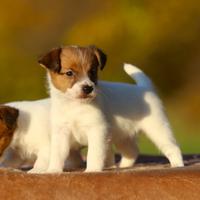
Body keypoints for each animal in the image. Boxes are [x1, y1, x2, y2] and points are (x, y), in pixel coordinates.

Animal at [39, 44, 184, 173]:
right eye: (69, 73)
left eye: (92, 72)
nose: (88, 88)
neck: (75, 106)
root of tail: (144, 88)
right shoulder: (61, 133)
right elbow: (57, 154)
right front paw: (53, 170)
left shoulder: (97, 130)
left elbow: (94, 153)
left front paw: (92, 170)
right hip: (123, 136)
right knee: (132, 151)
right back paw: (123, 166)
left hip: (158, 129)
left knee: (172, 147)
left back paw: (178, 165)